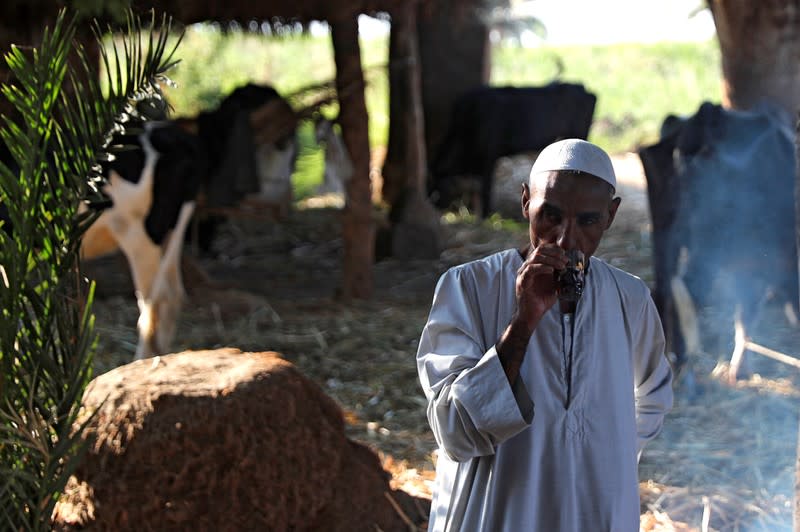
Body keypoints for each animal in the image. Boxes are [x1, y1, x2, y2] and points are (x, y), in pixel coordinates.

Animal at [432, 83, 592, 216]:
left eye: (439, 186)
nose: (435, 205)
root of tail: (582, 87)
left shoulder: (489, 156)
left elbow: (486, 189)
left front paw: (485, 216)